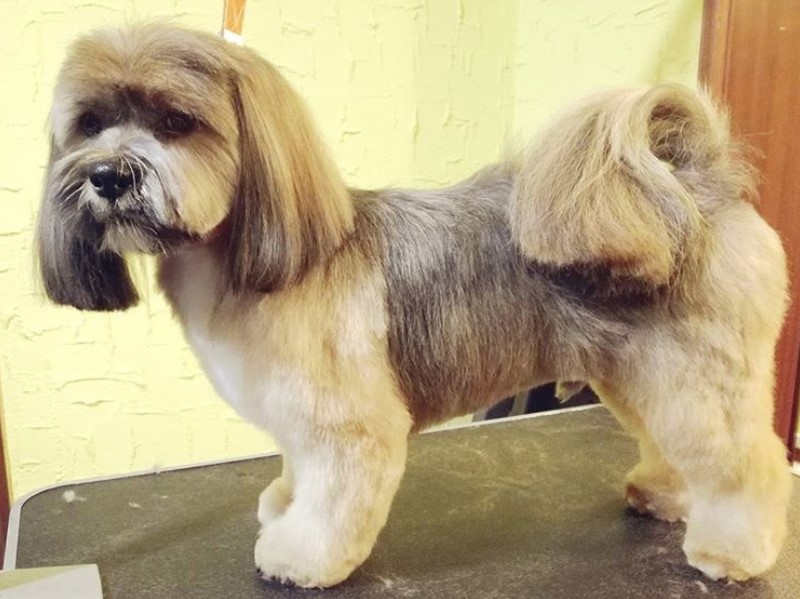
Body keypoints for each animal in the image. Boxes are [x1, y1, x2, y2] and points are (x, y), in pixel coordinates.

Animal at [37, 22, 788, 584]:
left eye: (175, 121)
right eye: (90, 124)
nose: (106, 175)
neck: (251, 257)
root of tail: (695, 179)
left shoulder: (351, 425)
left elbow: (332, 501)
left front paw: (298, 555)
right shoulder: (299, 416)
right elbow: (298, 470)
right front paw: (284, 504)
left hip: (695, 377)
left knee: (747, 465)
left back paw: (734, 550)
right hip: (642, 375)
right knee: (678, 447)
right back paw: (665, 495)